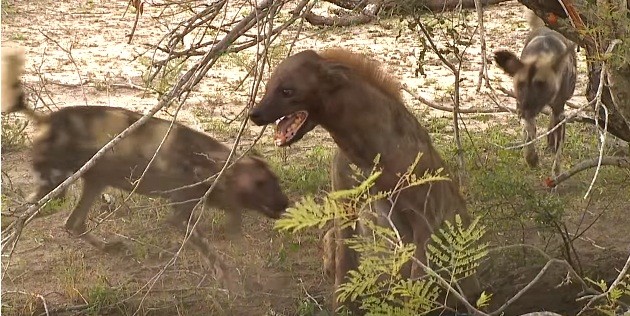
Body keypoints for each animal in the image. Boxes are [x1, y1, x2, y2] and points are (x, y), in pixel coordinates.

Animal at [1, 47, 288, 288]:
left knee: (73, 224)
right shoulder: (180, 215)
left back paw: (108, 247)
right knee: (20, 216)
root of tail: (46, 119)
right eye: (261, 185)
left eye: (276, 183)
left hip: (94, 182)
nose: (286, 203)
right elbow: (209, 249)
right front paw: (226, 277)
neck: (207, 164)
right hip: (54, 190)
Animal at [249, 48, 482, 314]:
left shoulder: (425, 215)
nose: (254, 114)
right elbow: (344, 268)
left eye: (287, 90)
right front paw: (342, 308)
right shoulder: (345, 203)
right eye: (268, 86)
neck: (366, 153)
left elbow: (417, 285)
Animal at [496, 9, 580, 178]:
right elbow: (529, 137)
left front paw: (556, 174)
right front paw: (532, 159)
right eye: (521, 85)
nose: (525, 110)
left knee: (554, 121)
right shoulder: (522, 108)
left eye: (541, 85)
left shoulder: (559, 109)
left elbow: (558, 153)